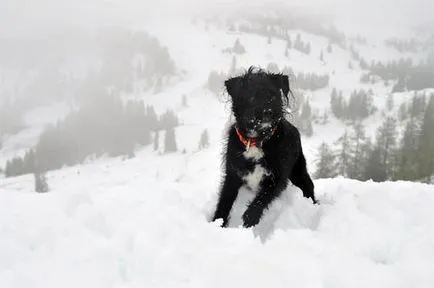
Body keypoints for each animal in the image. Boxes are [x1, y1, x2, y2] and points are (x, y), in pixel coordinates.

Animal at [213, 66, 318, 228]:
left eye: (273, 96)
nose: (267, 112)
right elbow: (225, 200)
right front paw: (217, 222)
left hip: (299, 174)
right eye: (251, 97)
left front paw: (250, 218)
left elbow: (262, 198)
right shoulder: (232, 174)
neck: (257, 140)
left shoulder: (277, 178)